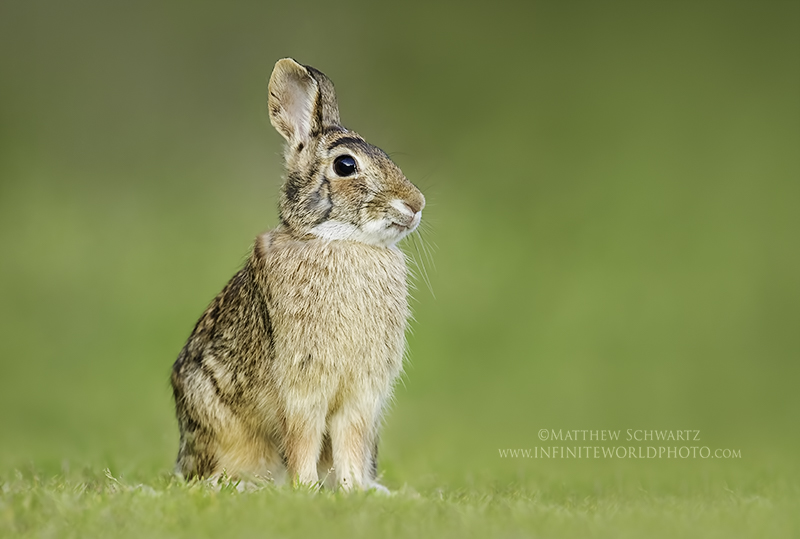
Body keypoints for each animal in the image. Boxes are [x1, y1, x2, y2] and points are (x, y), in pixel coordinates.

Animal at [170, 59, 424, 494]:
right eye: (345, 165)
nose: (416, 203)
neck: (343, 241)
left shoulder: (362, 394)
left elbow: (349, 438)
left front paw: (353, 490)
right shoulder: (302, 383)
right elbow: (303, 434)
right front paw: (305, 489)